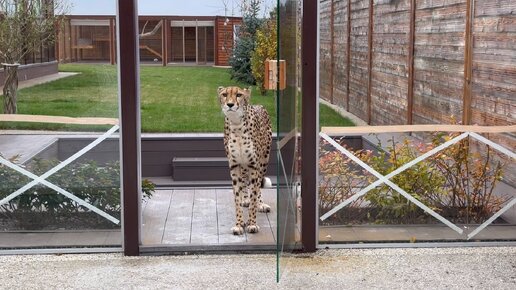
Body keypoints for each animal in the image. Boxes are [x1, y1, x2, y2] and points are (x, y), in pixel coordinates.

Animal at [218, 85, 272, 234]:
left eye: (239, 95)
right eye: (224, 94)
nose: (230, 104)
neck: (237, 125)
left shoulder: (254, 165)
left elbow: (254, 193)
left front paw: (252, 224)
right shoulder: (235, 166)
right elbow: (237, 195)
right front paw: (239, 224)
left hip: (264, 161)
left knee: (257, 185)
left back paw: (261, 204)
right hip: (244, 165)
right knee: (245, 181)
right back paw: (245, 199)